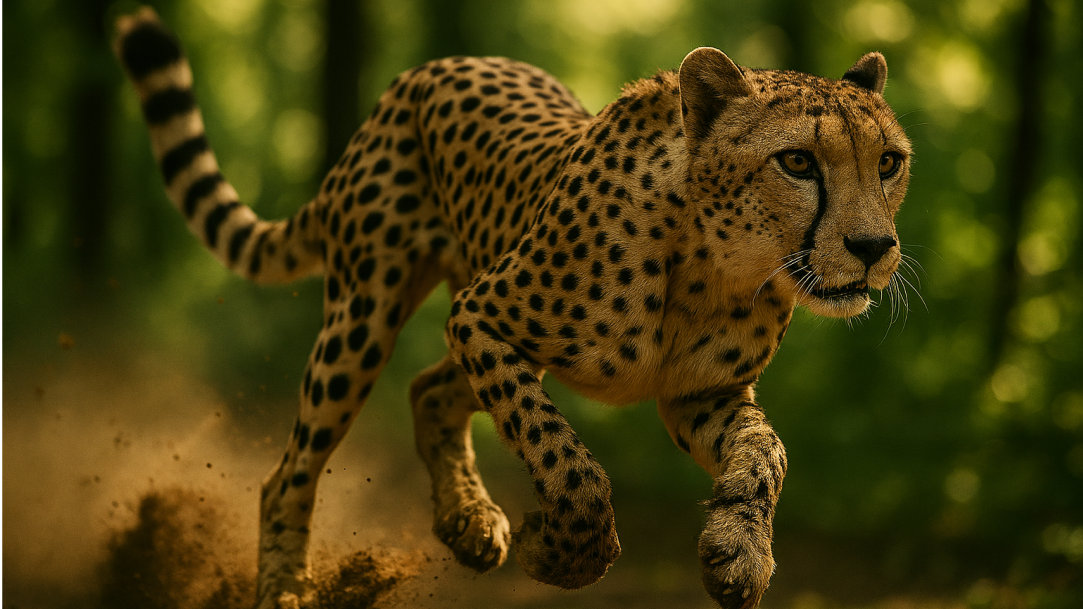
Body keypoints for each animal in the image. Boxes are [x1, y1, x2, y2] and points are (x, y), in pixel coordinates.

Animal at [114, 7, 911, 609]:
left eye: (889, 162)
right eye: (797, 162)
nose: (873, 246)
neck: (715, 266)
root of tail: (429, 67)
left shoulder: (702, 394)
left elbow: (765, 452)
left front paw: (737, 552)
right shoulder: (481, 318)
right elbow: (567, 460)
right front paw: (561, 555)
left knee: (428, 389)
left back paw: (467, 520)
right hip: (363, 317)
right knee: (290, 473)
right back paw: (286, 589)